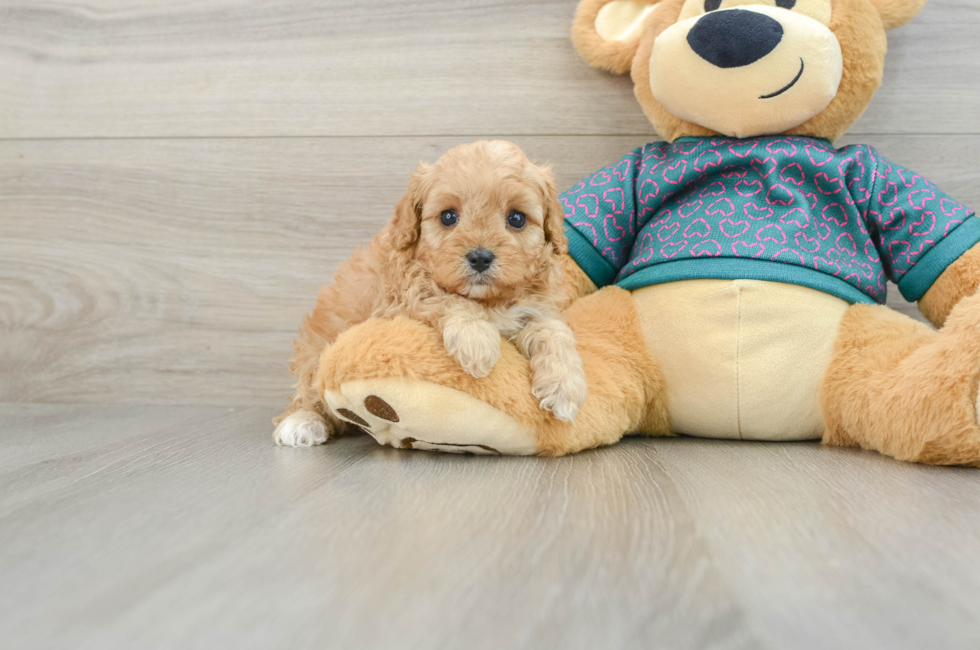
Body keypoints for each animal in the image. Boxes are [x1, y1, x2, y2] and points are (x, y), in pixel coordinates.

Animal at [272, 140, 584, 446]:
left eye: (517, 218)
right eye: (448, 216)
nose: (480, 257)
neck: (488, 300)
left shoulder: (536, 307)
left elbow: (554, 331)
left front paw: (564, 388)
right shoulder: (401, 303)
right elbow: (446, 299)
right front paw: (478, 342)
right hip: (314, 353)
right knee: (307, 393)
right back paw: (301, 422)